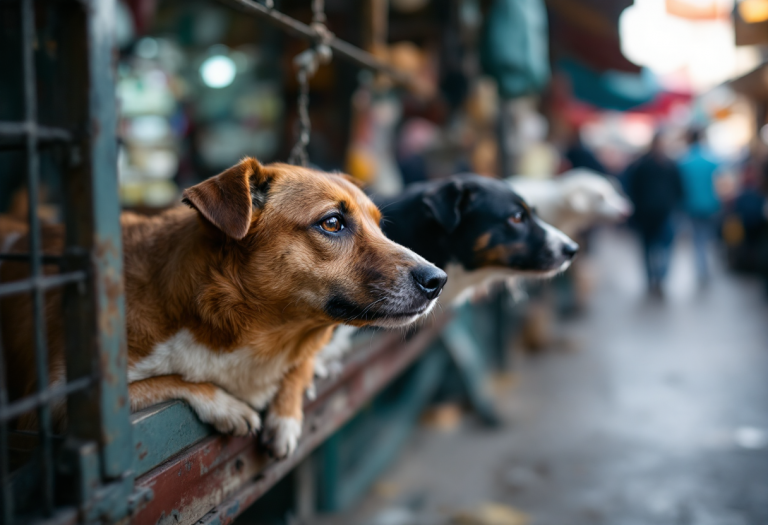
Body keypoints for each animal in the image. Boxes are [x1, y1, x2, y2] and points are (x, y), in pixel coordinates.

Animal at [0, 158, 448, 456]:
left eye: (380, 225)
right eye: (332, 223)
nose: (438, 280)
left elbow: (302, 364)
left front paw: (288, 413)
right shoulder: (62, 404)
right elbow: (169, 381)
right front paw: (229, 407)